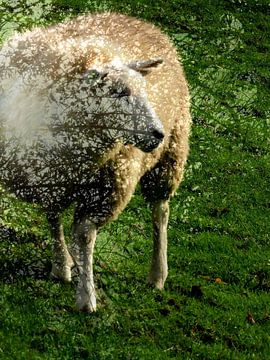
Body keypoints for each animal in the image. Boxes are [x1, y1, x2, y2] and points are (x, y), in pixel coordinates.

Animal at [0, 13, 191, 312]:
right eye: (118, 91)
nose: (157, 133)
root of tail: (134, 19)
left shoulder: (105, 190)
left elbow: (84, 236)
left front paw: (86, 296)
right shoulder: (48, 177)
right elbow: (53, 218)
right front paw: (62, 265)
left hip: (172, 152)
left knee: (160, 211)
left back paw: (158, 274)